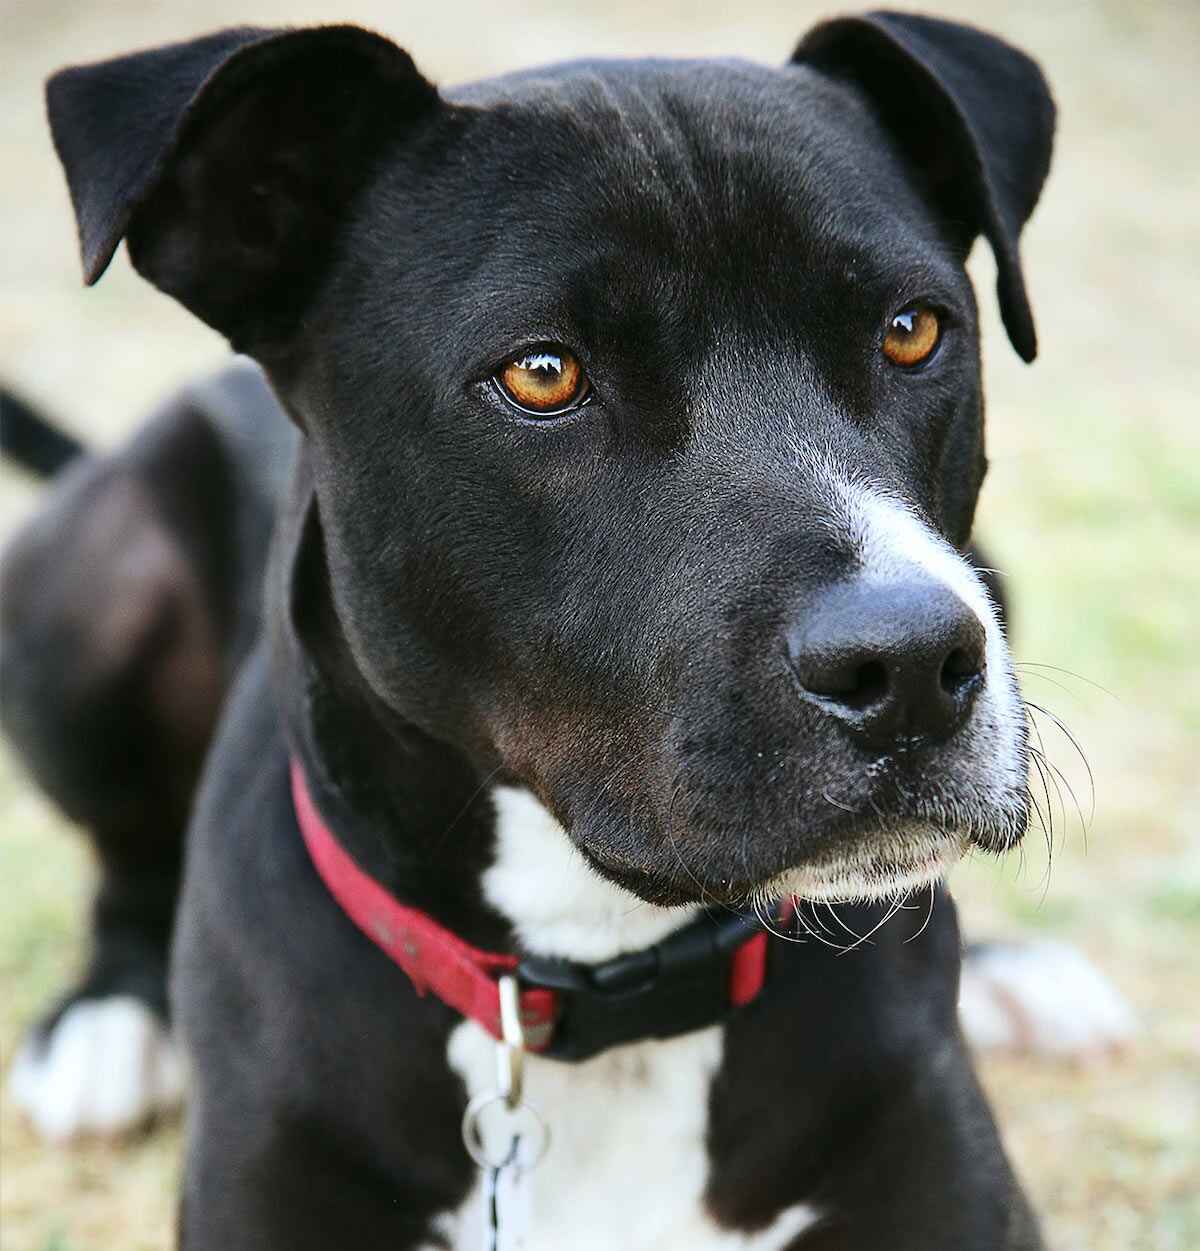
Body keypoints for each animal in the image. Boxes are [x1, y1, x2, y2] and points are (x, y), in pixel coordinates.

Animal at [28, 12, 1066, 1251]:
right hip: (93, 594)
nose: (908, 662)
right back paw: (103, 1028)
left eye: (912, 332)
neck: (604, 974)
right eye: (541, 374)